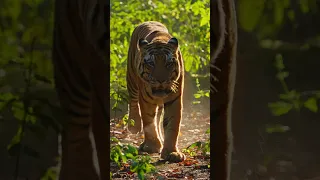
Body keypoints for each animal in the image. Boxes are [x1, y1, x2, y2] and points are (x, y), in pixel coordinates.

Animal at [125, 20, 185, 162]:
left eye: (168, 64)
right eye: (151, 64)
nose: (161, 79)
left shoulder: (174, 99)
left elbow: (172, 124)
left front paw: (172, 152)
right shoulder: (145, 99)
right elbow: (148, 120)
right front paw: (152, 146)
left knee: (158, 117)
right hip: (131, 79)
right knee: (133, 101)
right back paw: (134, 126)